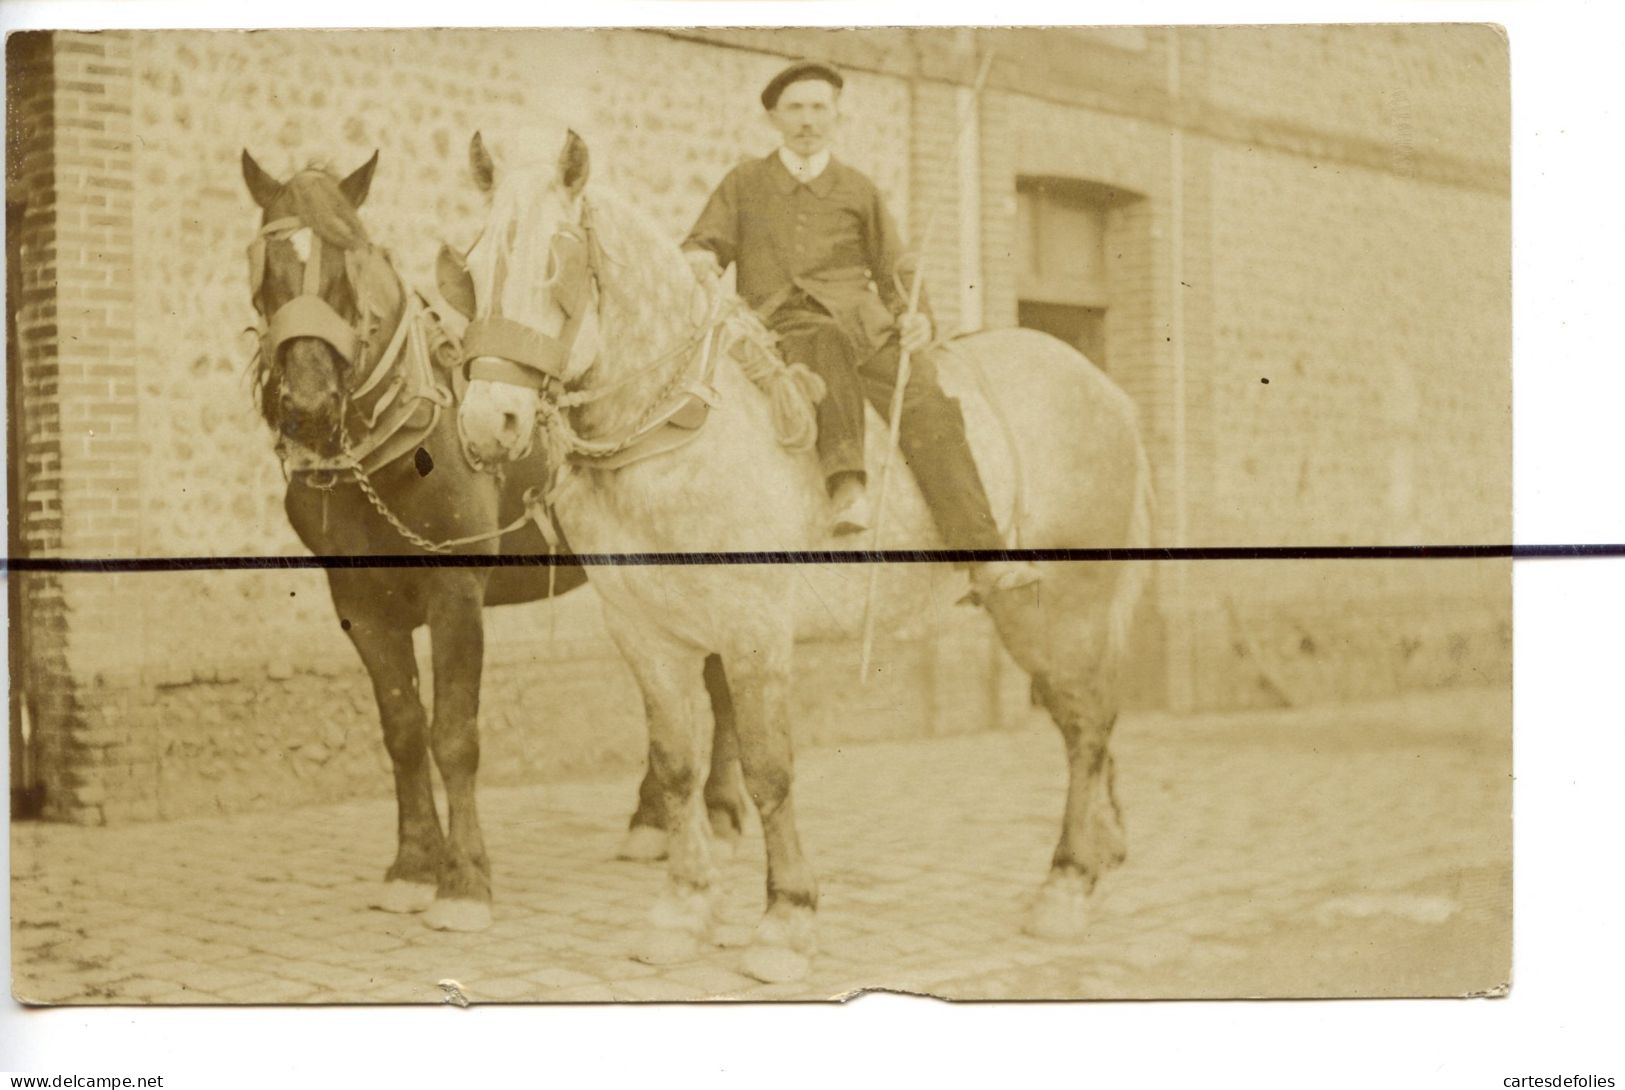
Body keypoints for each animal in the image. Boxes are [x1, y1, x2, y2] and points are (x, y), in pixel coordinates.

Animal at [240, 151, 747, 929]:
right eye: (266, 269)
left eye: (348, 265)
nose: (308, 405)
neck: (394, 446)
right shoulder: (359, 604)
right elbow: (402, 732)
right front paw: (413, 866)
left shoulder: (456, 592)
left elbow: (454, 736)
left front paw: (465, 880)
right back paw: (652, 819)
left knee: (717, 682)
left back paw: (715, 810)